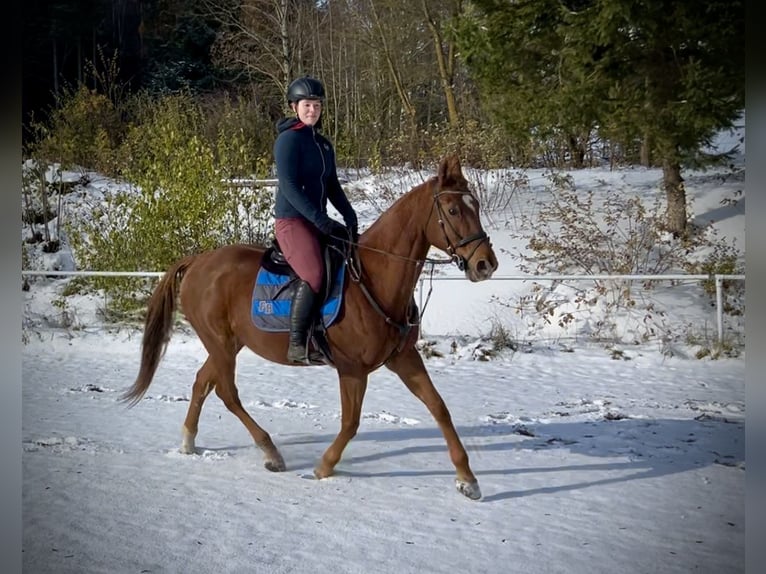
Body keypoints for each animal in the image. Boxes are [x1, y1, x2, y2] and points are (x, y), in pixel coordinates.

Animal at [123, 155, 500, 502]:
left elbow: (439, 408)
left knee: (203, 381)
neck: (375, 280)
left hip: (228, 345)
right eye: (452, 210)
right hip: (220, 343)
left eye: (476, 206)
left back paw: (188, 442)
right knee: (227, 393)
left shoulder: (404, 359)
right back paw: (270, 452)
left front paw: (468, 480)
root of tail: (198, 261)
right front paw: (324, 467)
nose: (486, 264)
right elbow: (351, 423)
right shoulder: (352, 369)